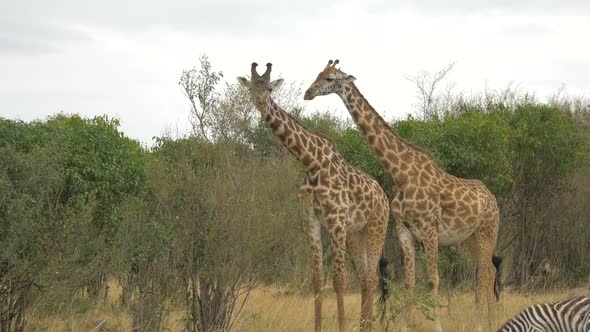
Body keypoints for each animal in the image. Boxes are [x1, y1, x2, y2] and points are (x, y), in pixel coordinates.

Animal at [238, 63, 390, 332]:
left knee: (372, 277)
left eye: (269, 88)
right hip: (356, 234)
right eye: (251, 89)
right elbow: (317, 280)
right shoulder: (311, 221)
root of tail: (384, 197)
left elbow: (339, 280)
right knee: (365, 278)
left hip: (376, 227)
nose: (261, 103)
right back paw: (364, 325)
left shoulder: (337, 221)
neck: (311, 163)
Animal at [306, 60, 504, 332]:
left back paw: (481, 325)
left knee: (485, 275)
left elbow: (432, 280)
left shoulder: (430, 230)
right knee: (487, 273)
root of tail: (493, 199)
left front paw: (437, 327)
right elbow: (410, 283)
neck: (402, 174)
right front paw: (404, 327)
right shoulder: (404, 230)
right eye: (318, 74)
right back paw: (491, 322)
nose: (308, 93)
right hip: (470, 238)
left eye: (330, 78)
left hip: (487, 231)